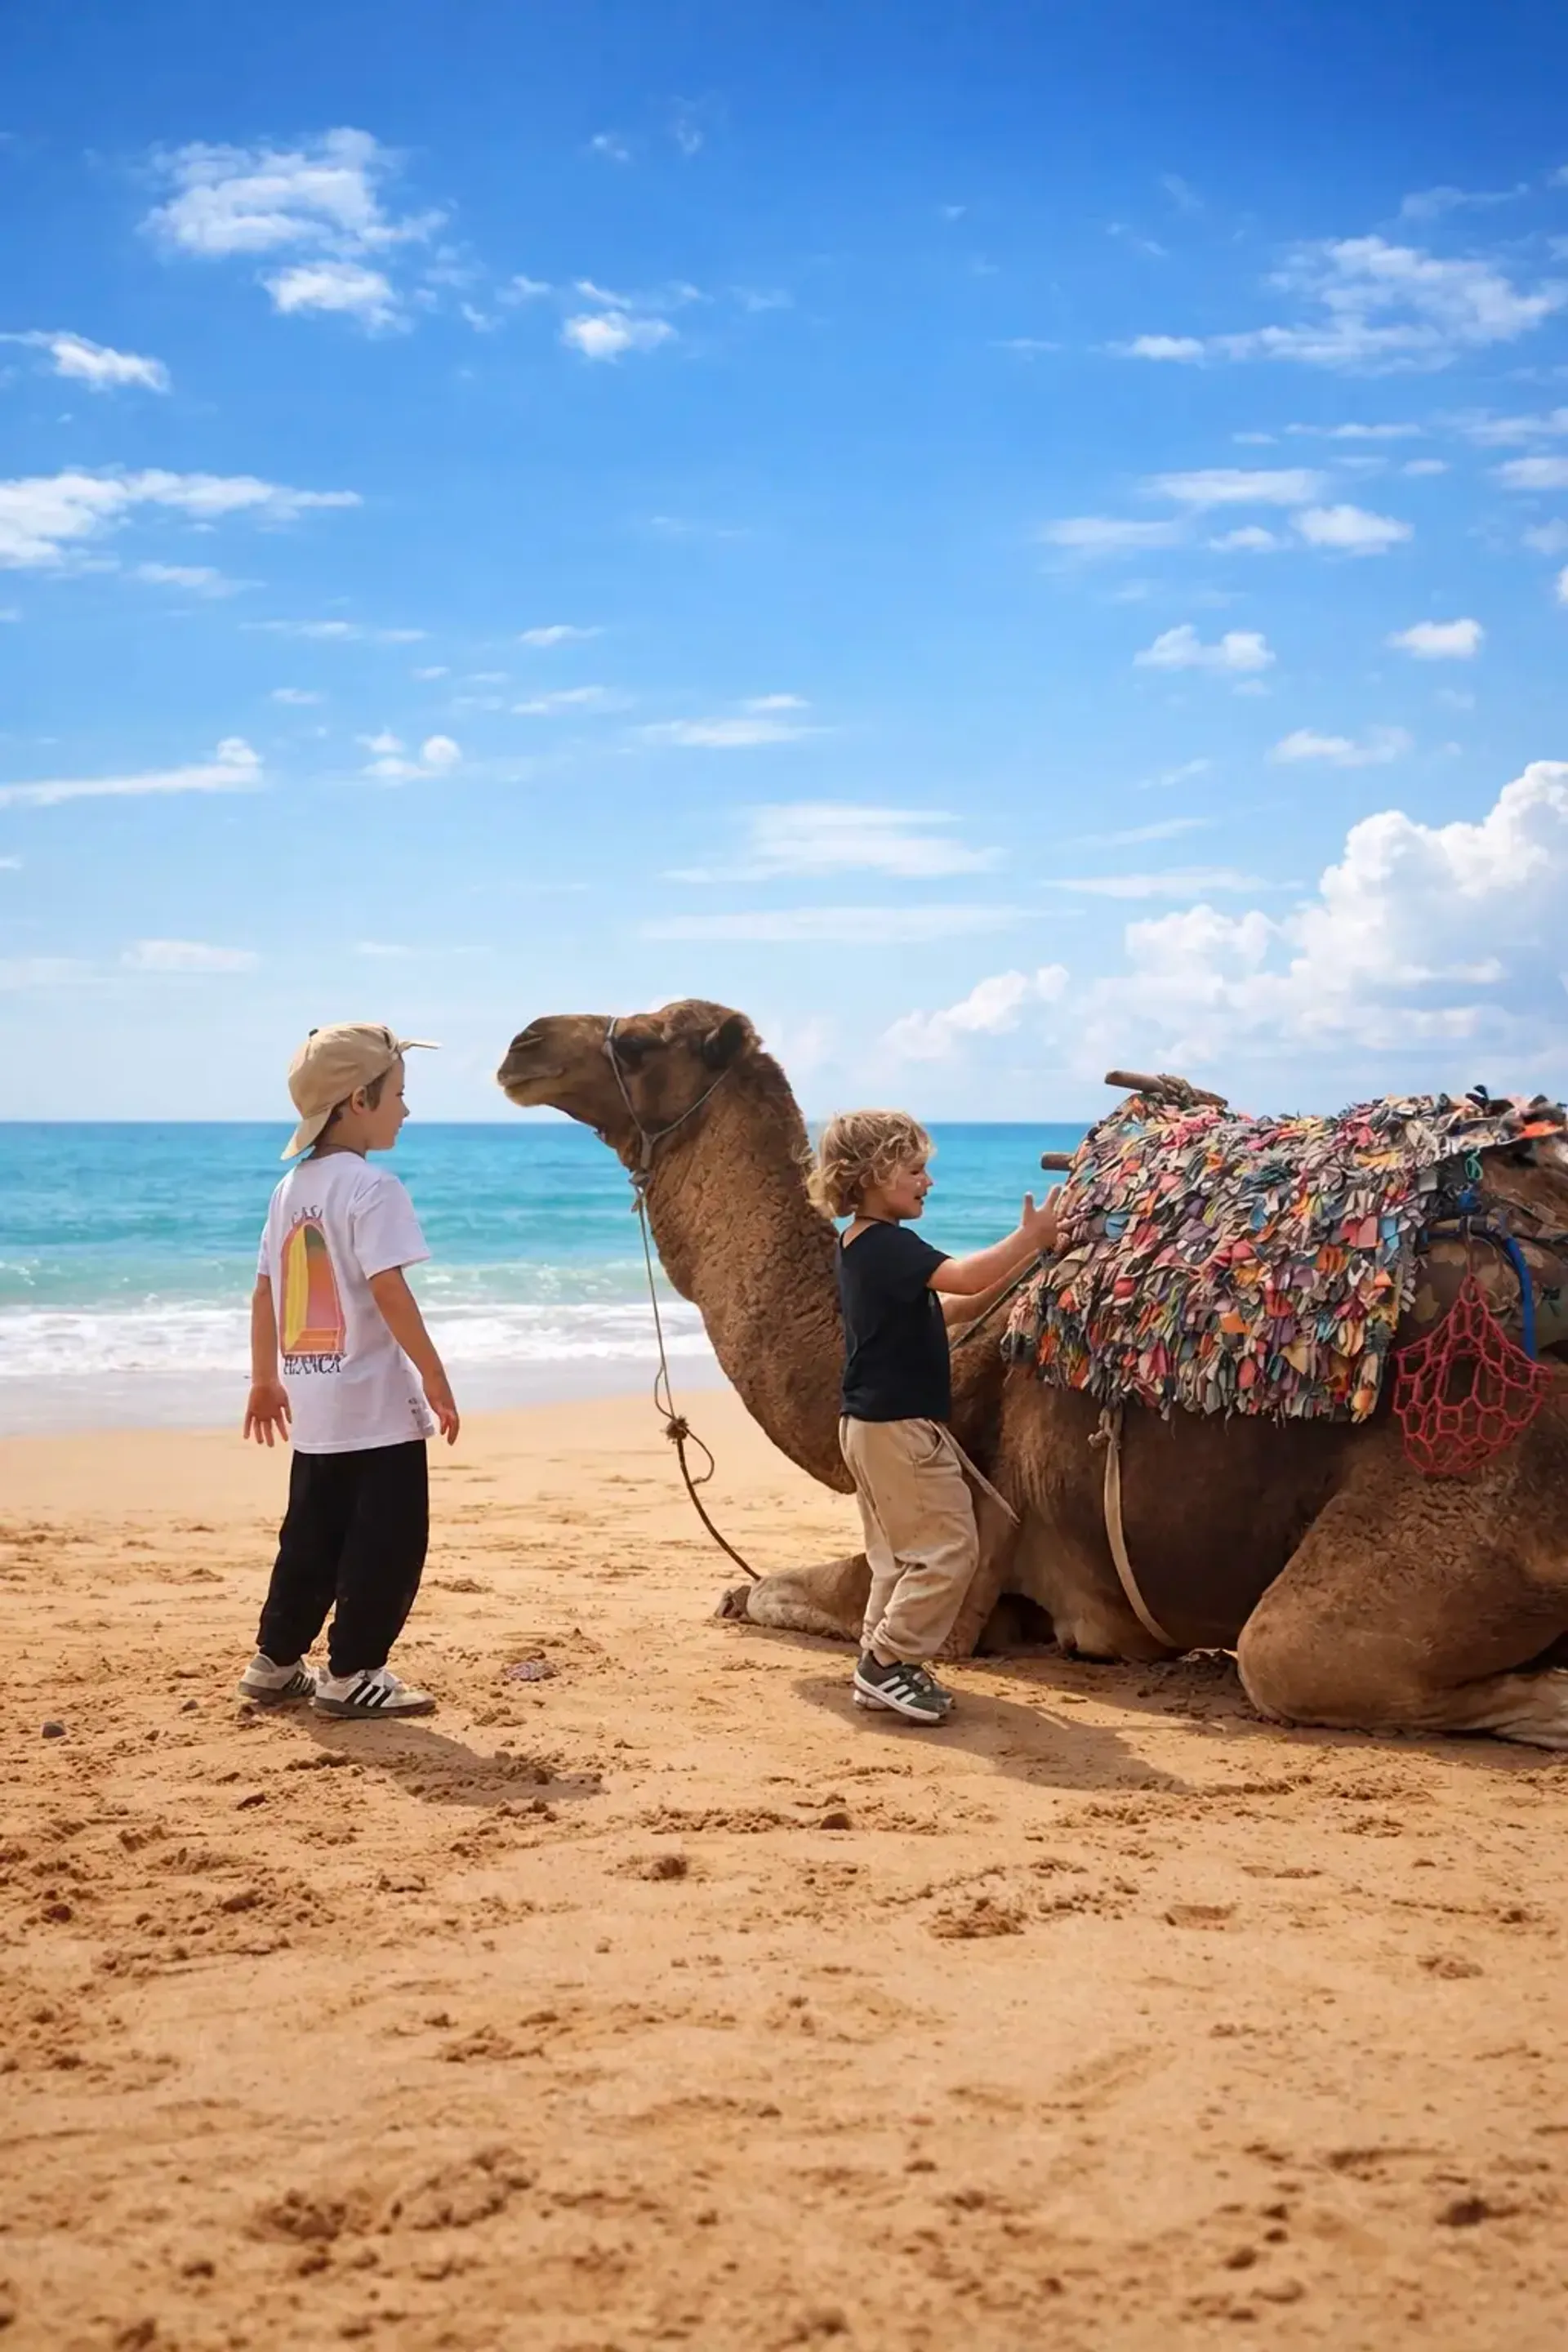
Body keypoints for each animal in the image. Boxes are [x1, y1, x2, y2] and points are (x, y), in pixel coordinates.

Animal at [498, 999, 1568, 1749]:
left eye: (642, 1040)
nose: (520, 1043)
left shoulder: (971, 1546)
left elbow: (773, 1595)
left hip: (1470, 1471)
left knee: (1291, 1655)